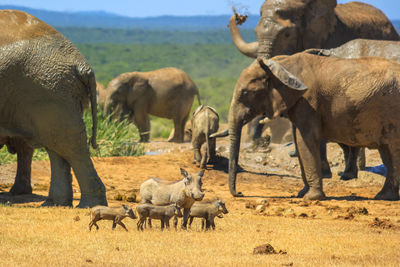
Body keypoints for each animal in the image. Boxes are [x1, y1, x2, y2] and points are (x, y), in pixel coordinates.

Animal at [0, 9, 107, 207]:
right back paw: (55, 203)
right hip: (55, 92)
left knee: (69, 145)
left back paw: (89, 205)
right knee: (57, 145)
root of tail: (81, 64)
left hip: (48, 89)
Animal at [227, 52, 400, 201]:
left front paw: (311, 197)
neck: (280, 65)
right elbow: (299, 141)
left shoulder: (308, 101)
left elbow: (305, 140)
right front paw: (301, 193)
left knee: (392, 151)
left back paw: (383, 196)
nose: (240, 193)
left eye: (246, 92)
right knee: (387, 153)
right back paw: (384, 196)